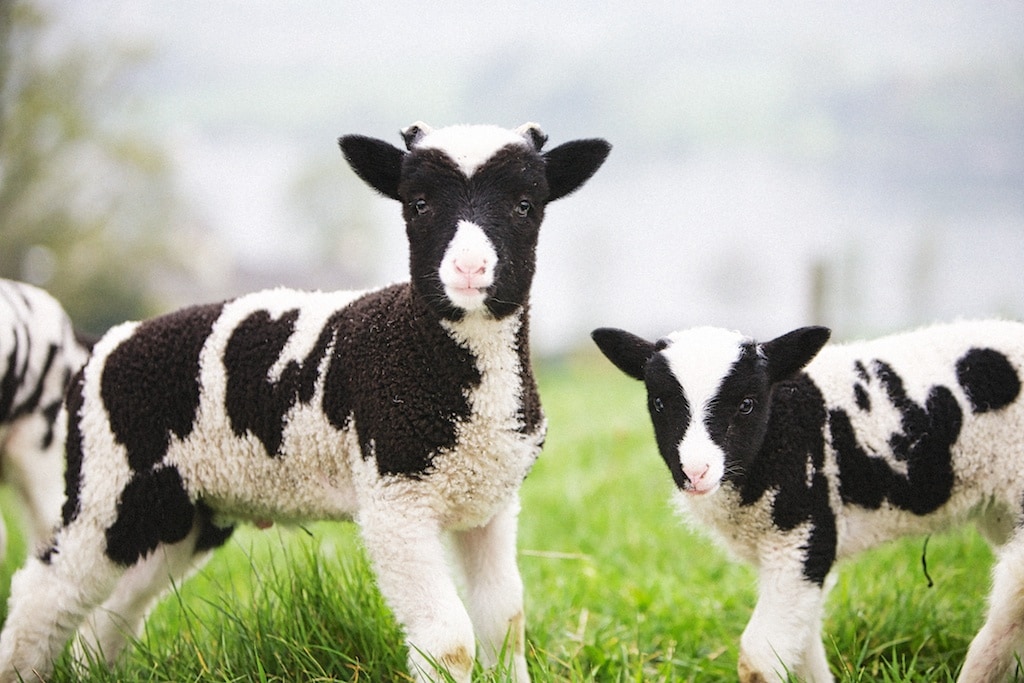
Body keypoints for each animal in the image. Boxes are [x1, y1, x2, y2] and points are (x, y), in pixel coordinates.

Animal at [593, 321, 1024, 683]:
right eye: (659, 404)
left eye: (747, 404)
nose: (695, 472)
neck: (779, 429)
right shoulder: (792, 553)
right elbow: (801, 648)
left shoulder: (804, 534)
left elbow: (758, 658)